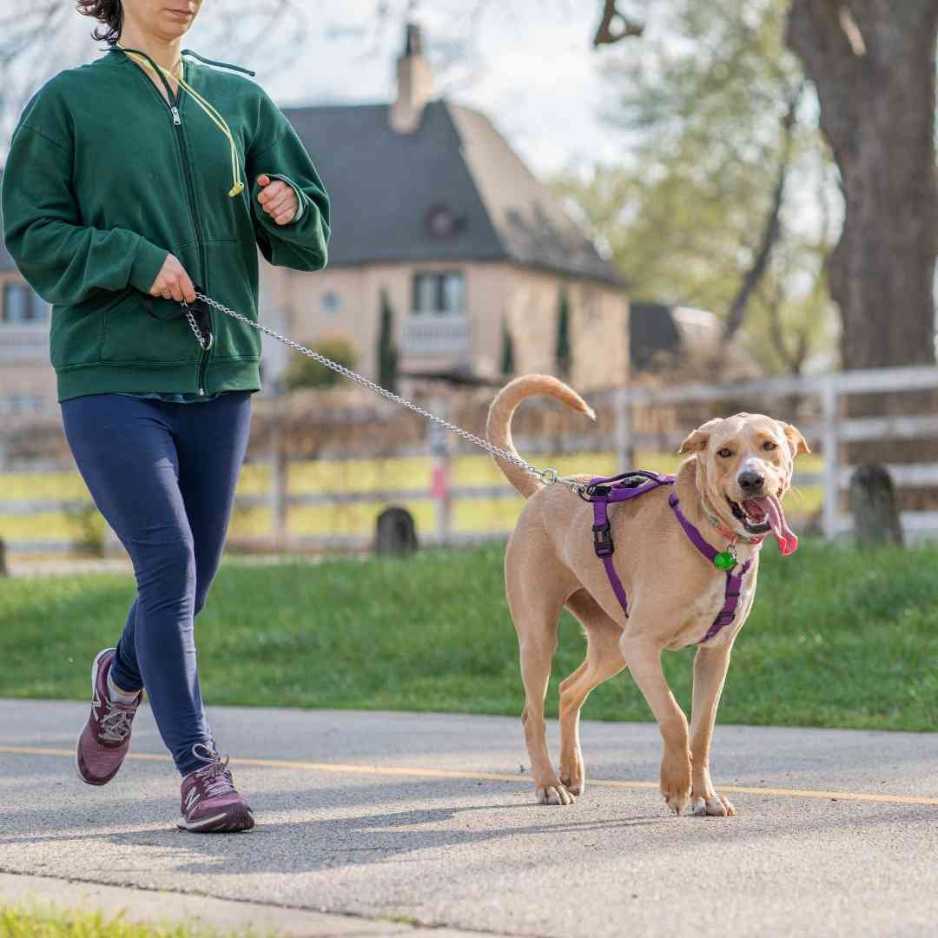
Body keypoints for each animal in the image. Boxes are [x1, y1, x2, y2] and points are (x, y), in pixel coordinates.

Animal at [486, 372, 808, 812]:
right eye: (724, 452)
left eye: (769, 446)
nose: (751, 479)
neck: (714, 539)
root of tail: (542, 488)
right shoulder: (641, 645)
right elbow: (675, 718)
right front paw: (676, 785)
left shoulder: (714, 654)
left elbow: (702, 731)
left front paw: (705, 796)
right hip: (542, 636)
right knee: (531, 714)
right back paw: (549, 784)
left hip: (611, 646)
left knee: (569, 691)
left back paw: (571, 772)